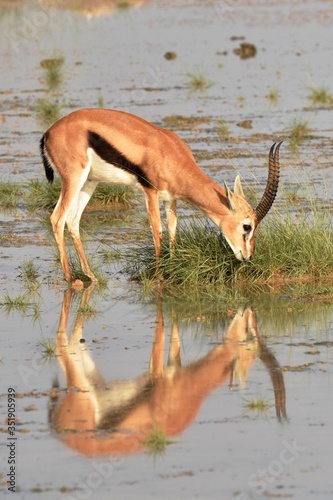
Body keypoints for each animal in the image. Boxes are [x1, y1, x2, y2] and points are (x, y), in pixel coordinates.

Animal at [40, 108, 282, 290]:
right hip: (74, 179)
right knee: (57, 218)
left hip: (90, 182)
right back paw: (72, 279)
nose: (248, 256)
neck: (170, 154)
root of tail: (49, 132)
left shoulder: (170, 198)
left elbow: (173, 229)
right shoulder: (150, 192)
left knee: (73, 220)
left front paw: (173, 269)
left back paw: (91, 276)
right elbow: (157, 231)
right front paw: (159, 276)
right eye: (247, 226)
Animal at [49, 286, 286, 458]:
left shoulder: (174, 364)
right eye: (248, 334)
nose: (250, 311)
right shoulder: (158, 376)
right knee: (61, 346)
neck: (186, 394)